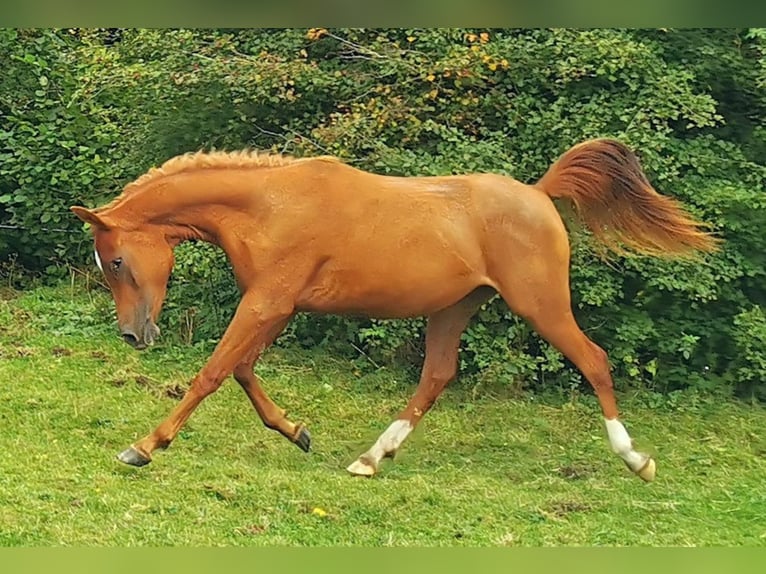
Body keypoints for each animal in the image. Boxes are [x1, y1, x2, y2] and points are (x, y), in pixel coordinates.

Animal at [72, 140, 720, 482]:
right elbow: (242, 371)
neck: (268, 204)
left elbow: (212, 372)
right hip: (454, 310)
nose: (132, 335)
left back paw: (636, 459)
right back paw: (370, 458)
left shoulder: (268, 301)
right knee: (436, 377)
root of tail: (539, 193)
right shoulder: (277, 306)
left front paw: (143, 447)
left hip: (541, 305)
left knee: (594, 360)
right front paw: (298, 432)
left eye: (117, 261)